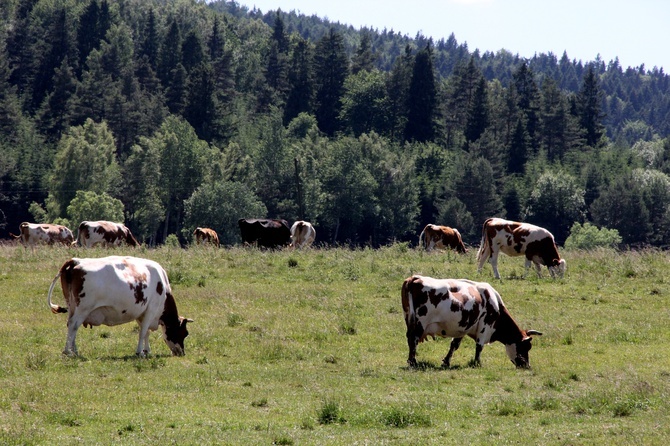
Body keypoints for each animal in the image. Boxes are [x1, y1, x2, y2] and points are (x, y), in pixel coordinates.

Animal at [47, 256, 193, 358]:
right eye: (184, 333)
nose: (182, 353)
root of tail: (75, 261)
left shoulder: (141, 313)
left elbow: (146, 333)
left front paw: (147, 351)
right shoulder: (151, 310)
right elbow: (143, 332)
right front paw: (140, 352)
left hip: (72, 306)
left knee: (71, 326)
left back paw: (74, 350)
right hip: (83, 308)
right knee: (73, 325)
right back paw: (68, 351)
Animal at [402, 276, 544, 370]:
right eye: (525, 347)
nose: (527, 366)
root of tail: (415, 278)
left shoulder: (462, 327)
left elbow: (454, 345)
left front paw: (446, 362)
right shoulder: (485, 326)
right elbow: (479, 346)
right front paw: (477, 363)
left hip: (409, 319)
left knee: (410, 339)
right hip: (420, 323)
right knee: (413, 339)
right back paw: (413, 362)